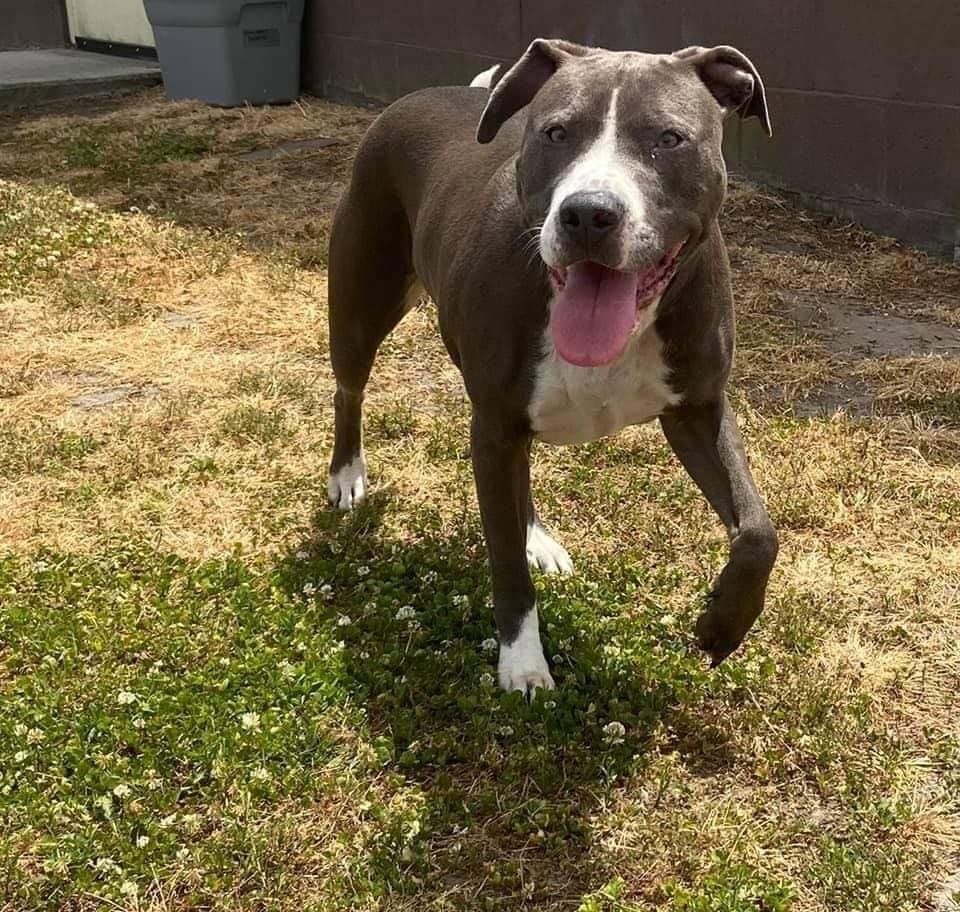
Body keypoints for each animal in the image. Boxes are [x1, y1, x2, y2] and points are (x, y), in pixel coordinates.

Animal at [326, 39, 776, 696]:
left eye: (669, 138)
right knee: (349, 388)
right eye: (556, 133)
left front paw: (723, 625)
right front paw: (522, 662)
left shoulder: (698, 408)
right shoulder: (494, 426)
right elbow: (505, 563)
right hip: (363, 299)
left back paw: (538, 537)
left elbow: (758, 530)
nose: (588, 213)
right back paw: (347, 474)